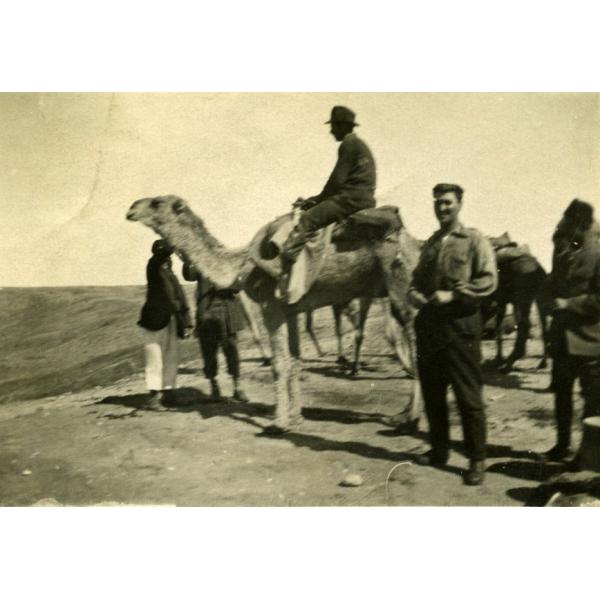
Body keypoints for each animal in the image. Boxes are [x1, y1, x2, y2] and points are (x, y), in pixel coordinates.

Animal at [125, 195, 422, 434]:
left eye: (156, 202)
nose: (131, 207)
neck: (241, 264)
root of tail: (414, 243)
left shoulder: (272, 308)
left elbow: (280, 364)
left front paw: (278, 423)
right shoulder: (291, 310)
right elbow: (295, 361)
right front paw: (296, 417)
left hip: (399, 284)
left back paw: (410, 419)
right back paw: (401, 414)